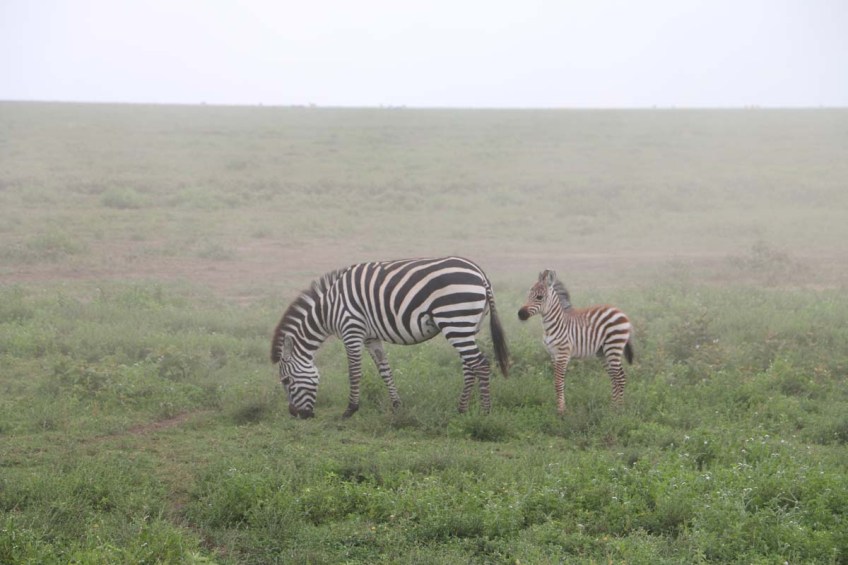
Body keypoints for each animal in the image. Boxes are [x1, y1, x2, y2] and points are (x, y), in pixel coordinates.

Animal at [271, 256, 509, 418]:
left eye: (286, 380)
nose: (296, 414)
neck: (328, 309)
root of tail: (480, 274)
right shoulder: (370, 337)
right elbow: (384, 369)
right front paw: (396, 405)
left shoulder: (351, 330)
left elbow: (354, 372)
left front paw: (350, 409)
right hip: (467, 326)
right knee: (469, 366)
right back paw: (461, 408)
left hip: (454, 320)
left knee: (481, 364)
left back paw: (485, 412)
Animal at [517, 269, 633, 415]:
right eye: (528, 295)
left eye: (539, 297)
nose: (520, 314)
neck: (554, 325)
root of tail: (619, 311)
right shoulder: (553, 355)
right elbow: (558, 382)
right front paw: (560, 408)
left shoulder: (563, 354)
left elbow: (558, 382)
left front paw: (561, 411)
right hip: (603, 351)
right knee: (614, 377)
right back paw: (612, 407)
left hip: (613, 346)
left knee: (620, 377)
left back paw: (618, 410)